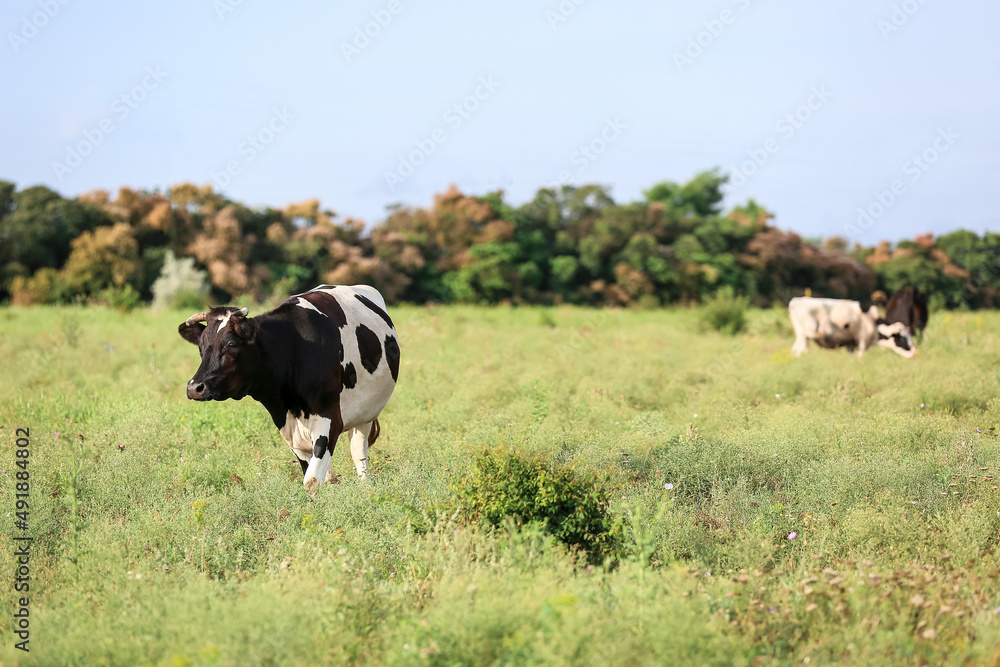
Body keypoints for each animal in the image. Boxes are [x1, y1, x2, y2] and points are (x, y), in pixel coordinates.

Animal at [178, 284, 400, 490]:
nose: (195, 387)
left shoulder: (330, 420)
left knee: (358, 452)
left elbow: (311, 481)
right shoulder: (290, 430)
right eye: (201, 347)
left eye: (231, 344)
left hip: (366, 414)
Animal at [784, 298, 916, 360]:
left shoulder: (850, 344)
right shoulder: (862, 341)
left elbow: (851, 358)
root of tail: (795, 301)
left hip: (800, 335)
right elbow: (861, 357)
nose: (914, 354)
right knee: (802, 350)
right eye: (902, 339)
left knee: (794, 351)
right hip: (805, 335)